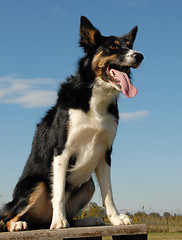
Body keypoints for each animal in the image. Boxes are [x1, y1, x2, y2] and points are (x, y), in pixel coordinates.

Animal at [0, 16, 143, 231]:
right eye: (112, 47)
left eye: (130, 46)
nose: (139, 56)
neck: (95, 98)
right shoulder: (62, 151)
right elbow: (58, 193)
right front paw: (59, 221)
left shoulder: (105, 153)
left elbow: (108, 194)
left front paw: (116, 219)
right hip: (37, 184)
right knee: (7, 218)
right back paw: (20, 224)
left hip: (88, 184)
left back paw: (87, 220)